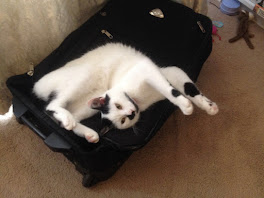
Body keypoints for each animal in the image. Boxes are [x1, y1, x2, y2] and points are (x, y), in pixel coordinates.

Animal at [33, 42, 219, 143]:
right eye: (123, 120)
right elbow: (174, 91)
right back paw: (76, 125)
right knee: (51, 106)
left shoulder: (162, 71)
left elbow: (184, 89)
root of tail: (38, 84)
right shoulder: (156, 73)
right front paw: (186, 105)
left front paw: (207, 106)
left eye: (118, 105)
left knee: (63, 118)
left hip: (87, 92)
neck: (139, 100)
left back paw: (88, 133)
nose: (131, 113)